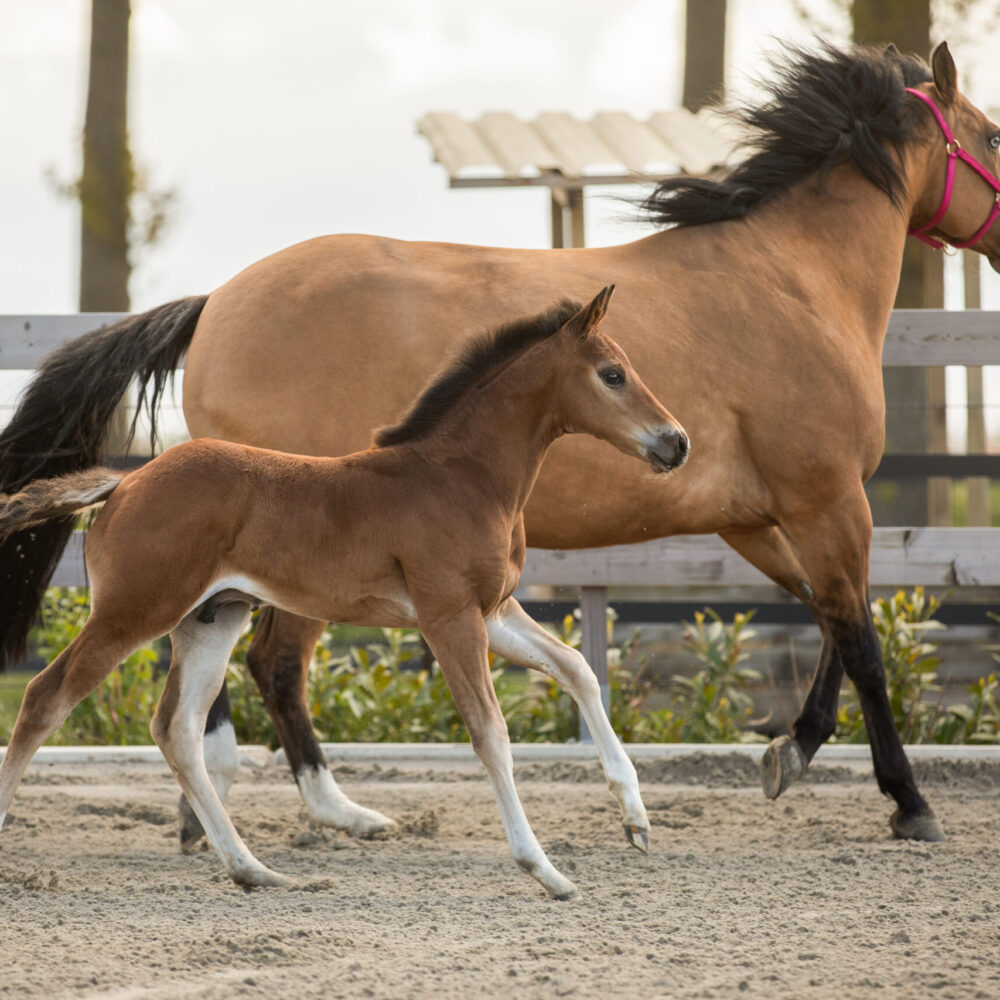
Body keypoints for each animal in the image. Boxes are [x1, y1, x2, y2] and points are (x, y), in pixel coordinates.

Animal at [0, 289, 690, 895]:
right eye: (613, 375)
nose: (677, 442)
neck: (462, 477)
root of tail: (125, 482)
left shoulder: (492, 611)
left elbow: (578, 669)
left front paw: (636, 821)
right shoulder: (448, 617)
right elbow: (491, 733)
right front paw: (545, 871)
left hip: (211, 619)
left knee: (178, 729)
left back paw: (254, 870)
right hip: (132, 612)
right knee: (43, 698)